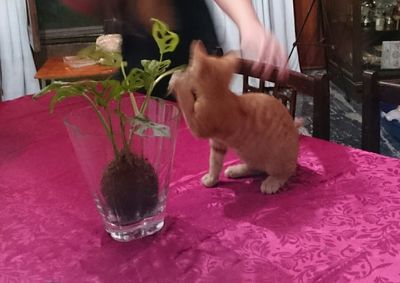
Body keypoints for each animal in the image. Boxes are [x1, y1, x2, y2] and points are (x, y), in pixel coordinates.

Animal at [170, 41, 300, 194]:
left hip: (275, 158)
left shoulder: (199, 127)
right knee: (257, 167)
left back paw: (272, 182)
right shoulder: (218, 144)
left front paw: (177, 80)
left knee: (285, 172)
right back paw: (237, 170)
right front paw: (212, 179)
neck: (219, 93)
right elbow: (214, 162)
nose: (185, 69)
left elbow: (185, 102)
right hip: (250, 152)